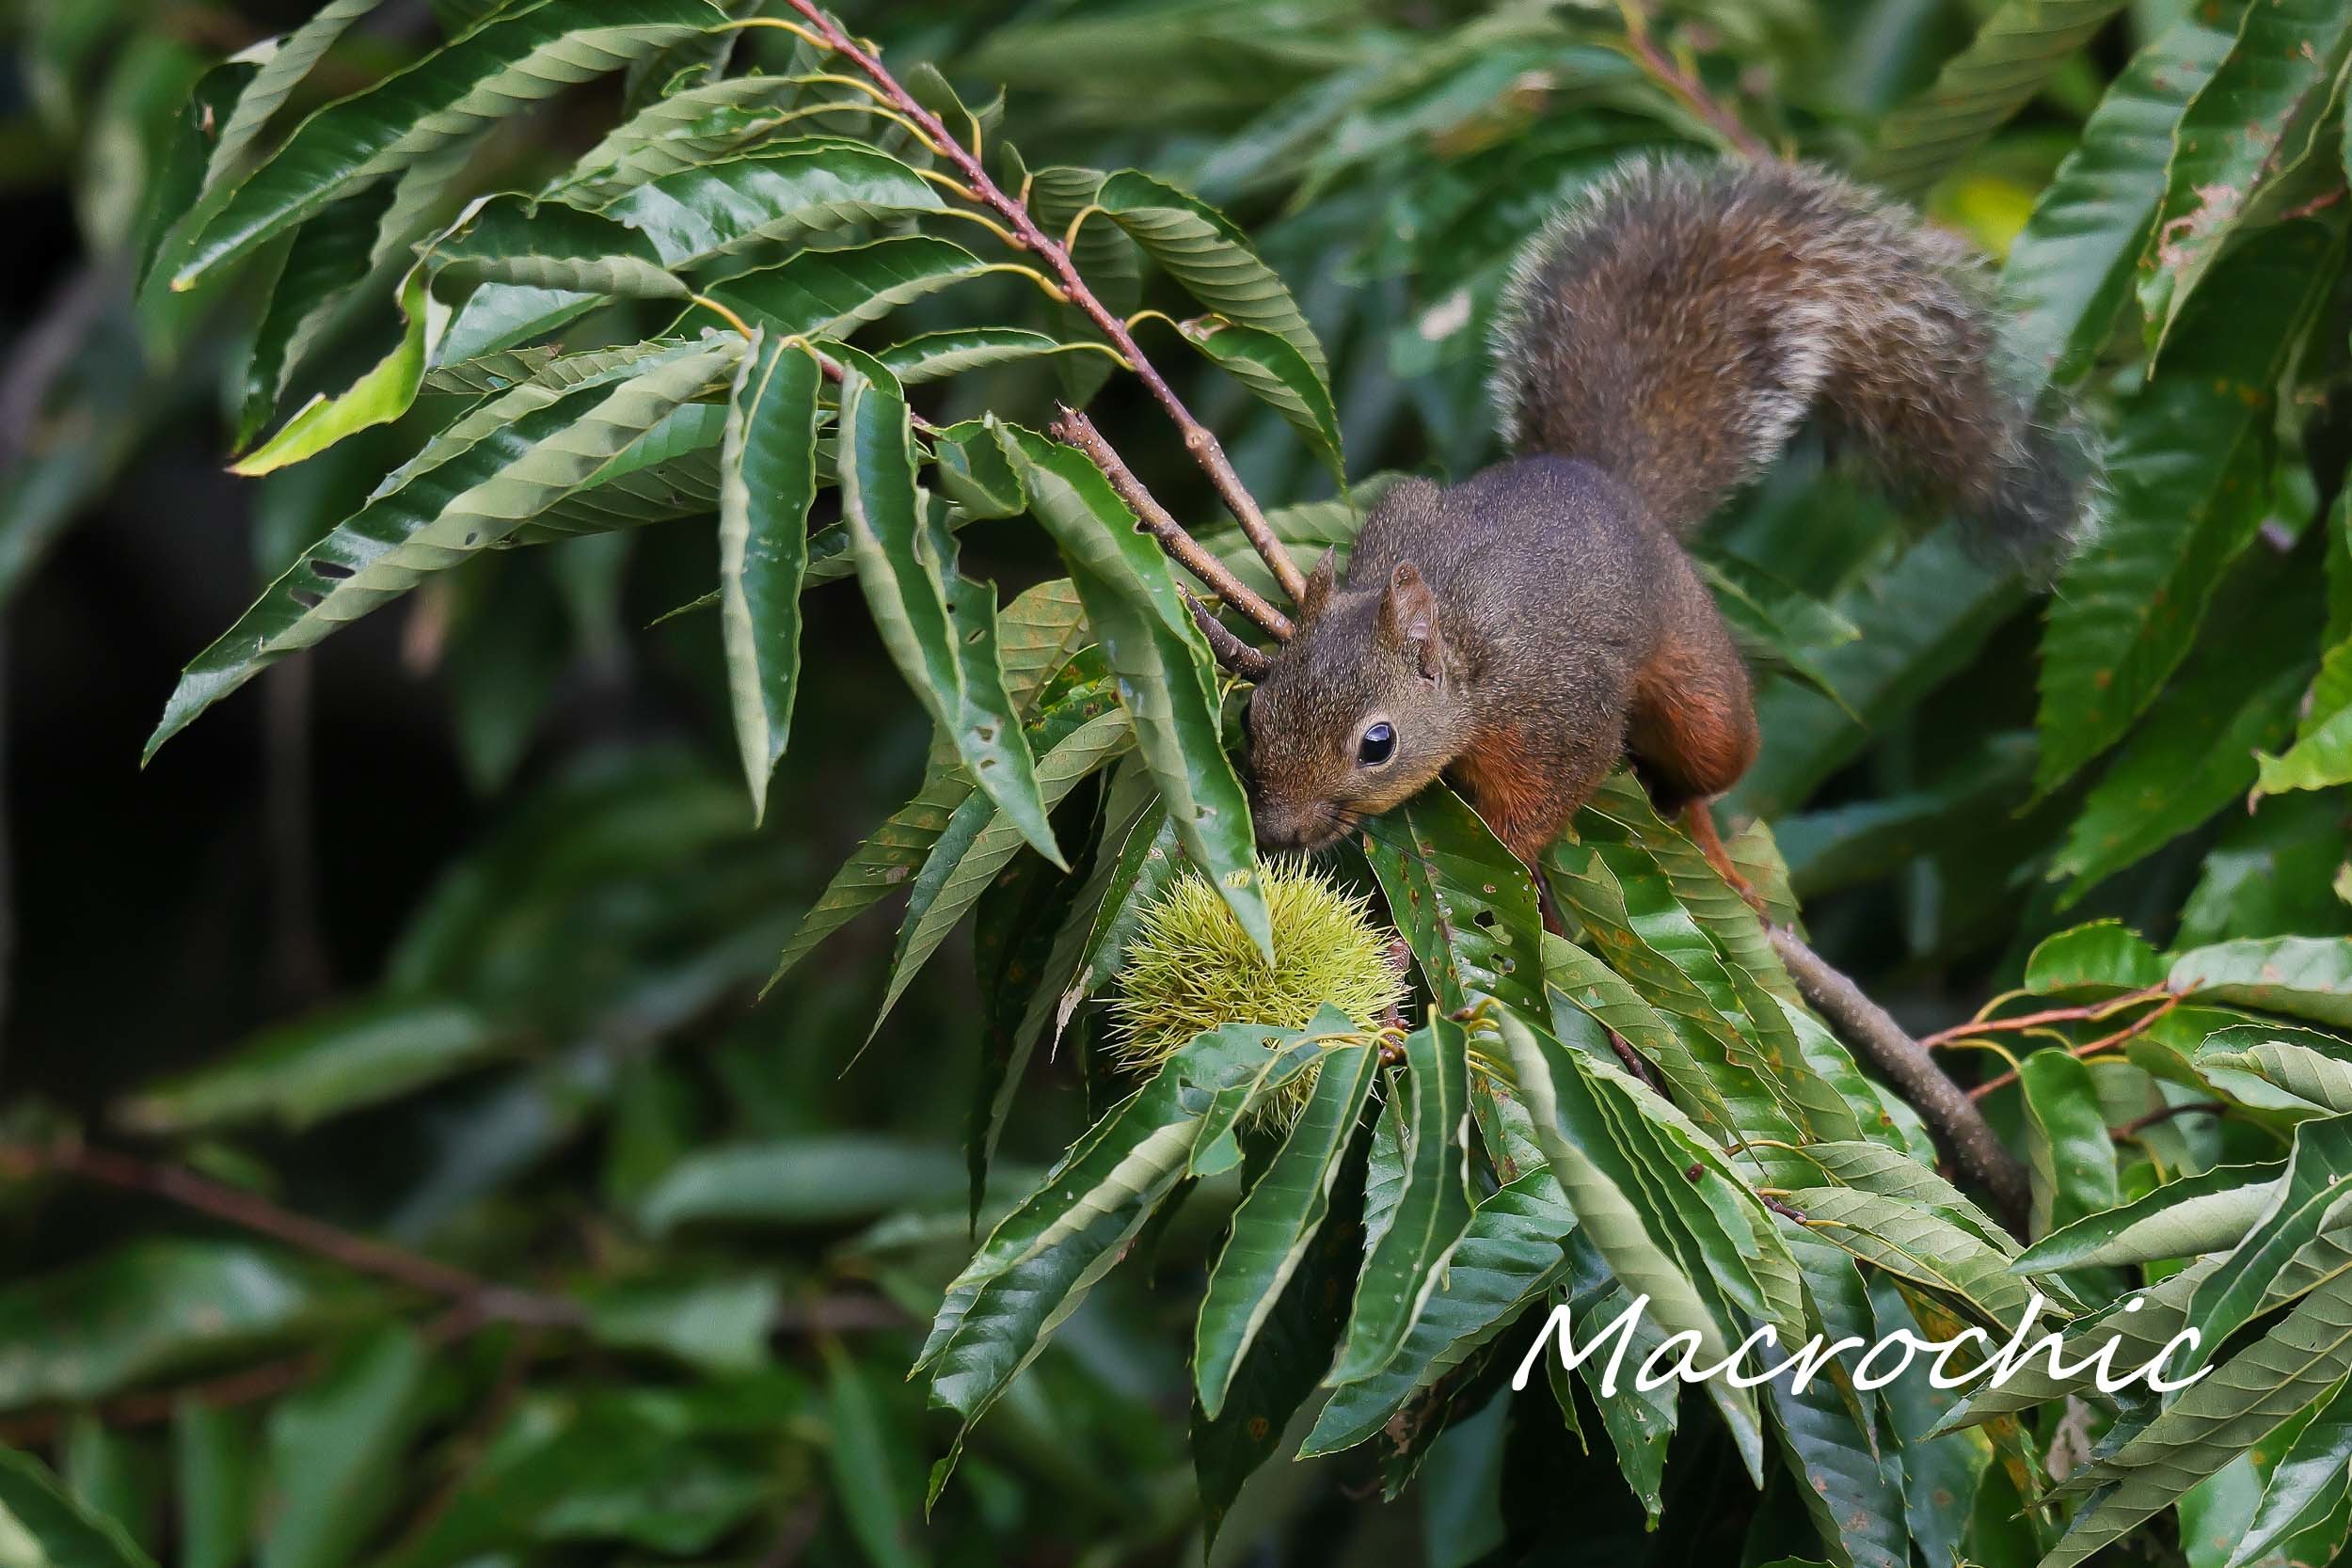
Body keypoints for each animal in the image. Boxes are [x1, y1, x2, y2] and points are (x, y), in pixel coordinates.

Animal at [1242, 159, 2089, 883]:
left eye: (1377, 744)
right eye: (1254, 708)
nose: (1278, 831)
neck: (1465, 648)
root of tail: (1607, 480)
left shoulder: (1555, 709)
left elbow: (1547, 793)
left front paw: (1506, 856)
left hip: (1698, 677)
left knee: (1710, 762)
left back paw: (1708, 835)